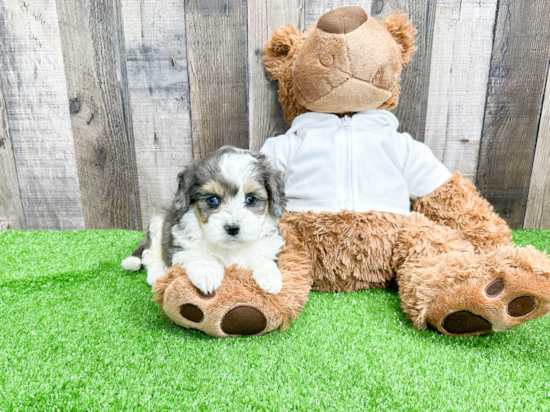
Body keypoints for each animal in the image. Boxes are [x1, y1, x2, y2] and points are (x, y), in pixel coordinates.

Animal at [121, 146, 288, 294]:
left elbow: (265, 257)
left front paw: (270, 276)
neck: (230, 249)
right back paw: (158, 274)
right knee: (150, 255)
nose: (232, 228)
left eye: (251, 199)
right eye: (212, 200)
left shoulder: (269, 244)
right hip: (157, 225)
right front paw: (207, 274)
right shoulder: (180, 245)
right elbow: (199, 254)